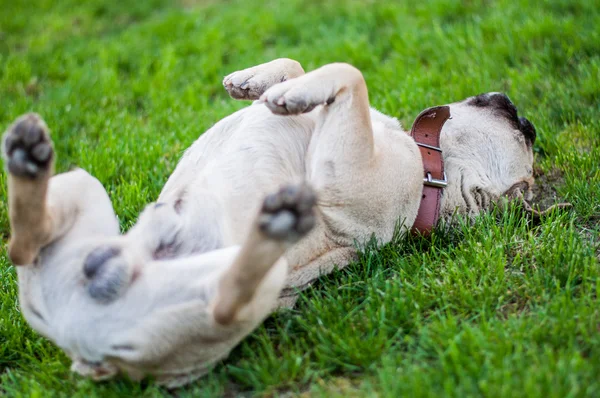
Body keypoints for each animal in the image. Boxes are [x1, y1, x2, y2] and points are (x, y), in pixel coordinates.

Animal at [2, 58, 536, 386]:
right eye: (524, 136)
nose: (519, 112)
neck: (432, 177)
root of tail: (84, 345)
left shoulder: (344, 168)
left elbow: (351, 72)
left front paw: (285, 92)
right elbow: (306, 67)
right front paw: (263, 84)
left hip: (250, 288)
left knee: (230, 297)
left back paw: (273, 224)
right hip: (80, 185)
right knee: (21, 245)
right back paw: (29, 160)